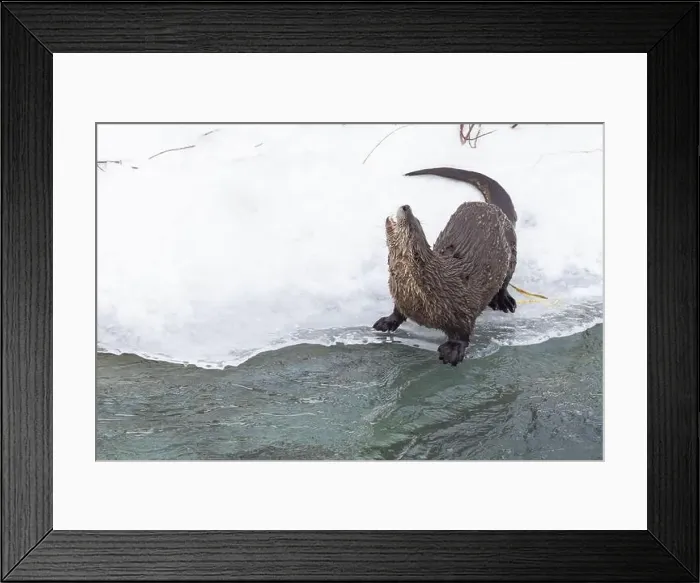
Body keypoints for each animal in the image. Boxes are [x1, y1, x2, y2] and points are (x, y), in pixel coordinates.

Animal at [372, 167, 518, 366]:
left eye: (414, 224)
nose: (406, 207)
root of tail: (494, 208)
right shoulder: (401, 297)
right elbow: (398, 311)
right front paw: (387, 321)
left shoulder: (462, 310)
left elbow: (463, 332)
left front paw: (453, 351)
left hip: (511, 250)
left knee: (505, 280)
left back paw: (503, 301)